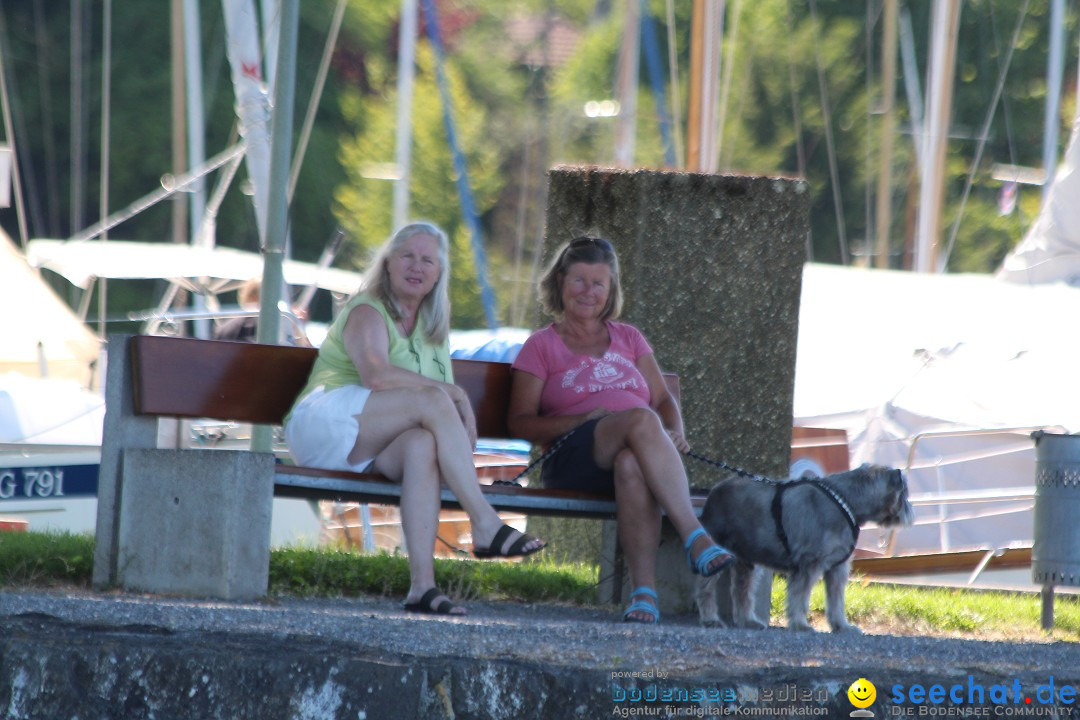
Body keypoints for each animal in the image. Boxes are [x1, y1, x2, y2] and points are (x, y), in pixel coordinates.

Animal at [695, 464, 915, 634]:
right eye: (905, 492)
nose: (911, 511)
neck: (847, 500)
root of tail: (713, 493)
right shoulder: (810, 564)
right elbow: (800, 597)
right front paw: (800, 624)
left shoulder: (837, 568)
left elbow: (836, 600)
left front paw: (842, 626)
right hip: (718, 551)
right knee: (706, 588)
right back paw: (710, 619)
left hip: (747, 561)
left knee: (742, 590)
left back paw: (748, 621)